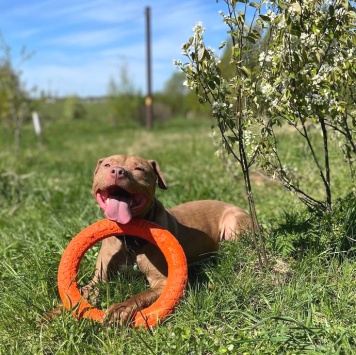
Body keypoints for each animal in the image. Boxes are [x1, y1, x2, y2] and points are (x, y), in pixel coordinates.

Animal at [80, 156, 252, 326]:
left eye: (139, 168)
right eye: (108, 165)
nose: (117, 171)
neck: (129, 238)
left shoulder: (162, 282)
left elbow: (140, 295)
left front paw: (120, 308)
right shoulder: (99, 278)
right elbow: (86, 290)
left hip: (233, 222)